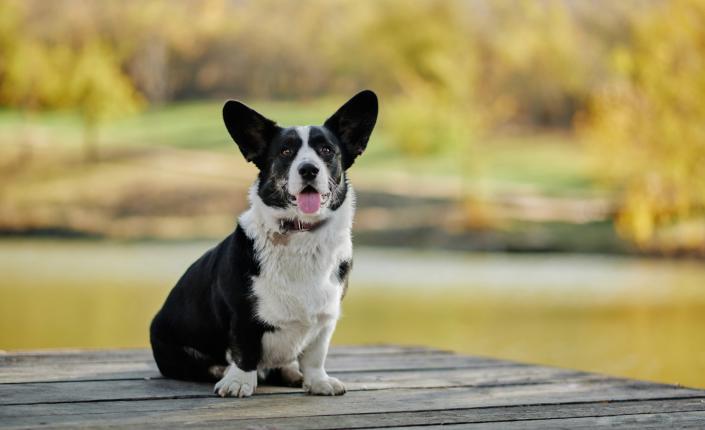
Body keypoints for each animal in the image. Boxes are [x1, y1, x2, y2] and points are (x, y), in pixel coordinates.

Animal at [150, 90, 380, 396]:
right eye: (285, 152)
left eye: (327, 151)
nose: (309, 170)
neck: (301, 235)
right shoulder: (242, 314)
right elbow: (245, 351)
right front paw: (238, 382)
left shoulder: (325, 319)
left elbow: (315, 355)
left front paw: (318, 381)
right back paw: (223, 371)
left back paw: (292, 373)